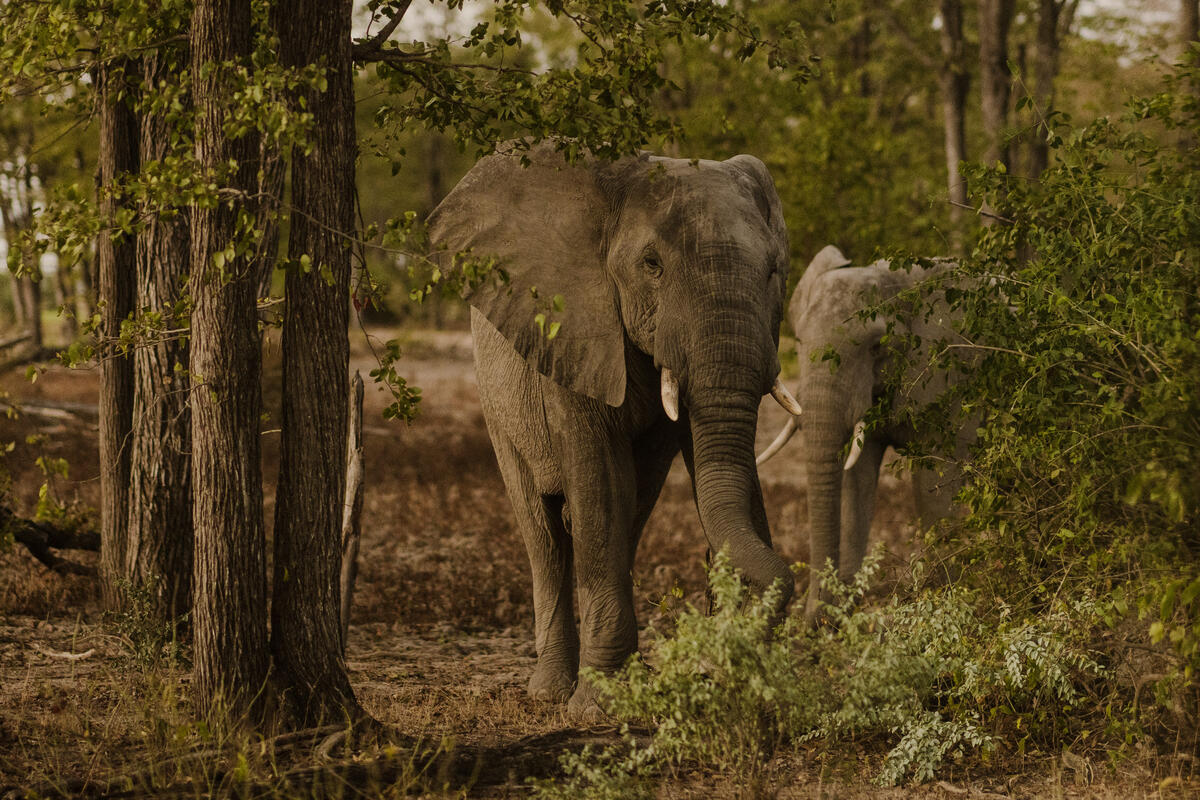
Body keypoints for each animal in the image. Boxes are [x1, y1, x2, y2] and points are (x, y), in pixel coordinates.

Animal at [427, 140, 801, 714]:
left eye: (773, 271)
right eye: (652, 265)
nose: (718, 659)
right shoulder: (571, 328)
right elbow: (600, 486)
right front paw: (600, 705)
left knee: (633, 507)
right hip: (495, 395)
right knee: (542, 530)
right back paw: (550, 691)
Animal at [758, 247, 974, 623]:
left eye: (876, 347)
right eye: (798, 342)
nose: (810, 622)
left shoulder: (946, 378)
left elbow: (933, 486)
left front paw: (946, 600)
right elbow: (857, 477)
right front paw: (838, 616)